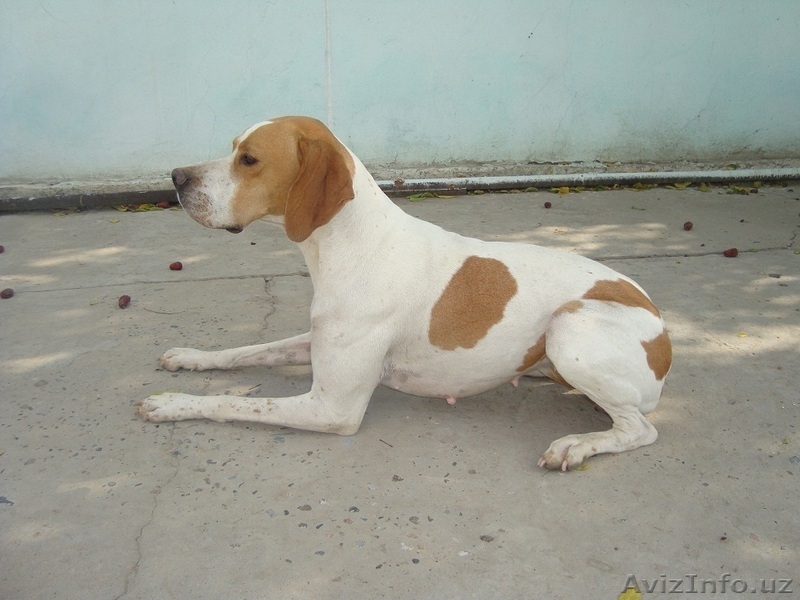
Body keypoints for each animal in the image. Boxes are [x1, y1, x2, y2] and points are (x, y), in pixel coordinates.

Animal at [141, 117, 672, 472]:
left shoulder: (332, 408)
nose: (176, 177)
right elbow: (245, 350)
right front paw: (191, 357)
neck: (351, 243)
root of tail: (662, 327)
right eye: (232, 148)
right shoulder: (315, 342)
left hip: (570, 327)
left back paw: (577, 444)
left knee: (641, 429)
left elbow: (234, 404)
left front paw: (173, 404)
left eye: (248, 159)